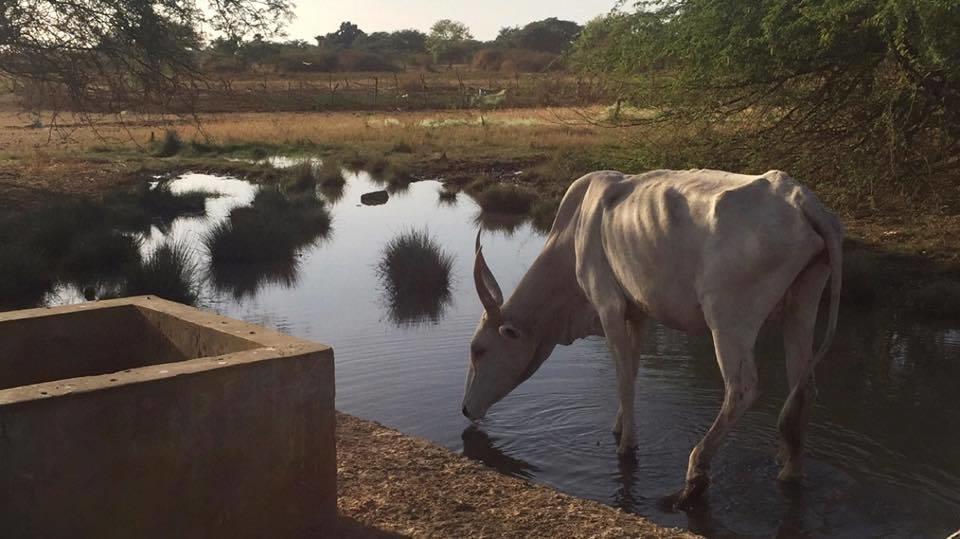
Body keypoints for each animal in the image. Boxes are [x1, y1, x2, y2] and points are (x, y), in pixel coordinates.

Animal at [462, 171, 844, 508]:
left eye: (479, 350)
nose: (465, 409)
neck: (573, 232)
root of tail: (801, 198)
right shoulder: (638, 313)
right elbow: (631, 370)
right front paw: (619, 428)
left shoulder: (608, 306)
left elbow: (623, 379)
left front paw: (627, 446)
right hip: (802, 302)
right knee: (803, 388)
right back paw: (790, 471)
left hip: (729, 320)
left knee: (742, 389)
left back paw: (694, 477)